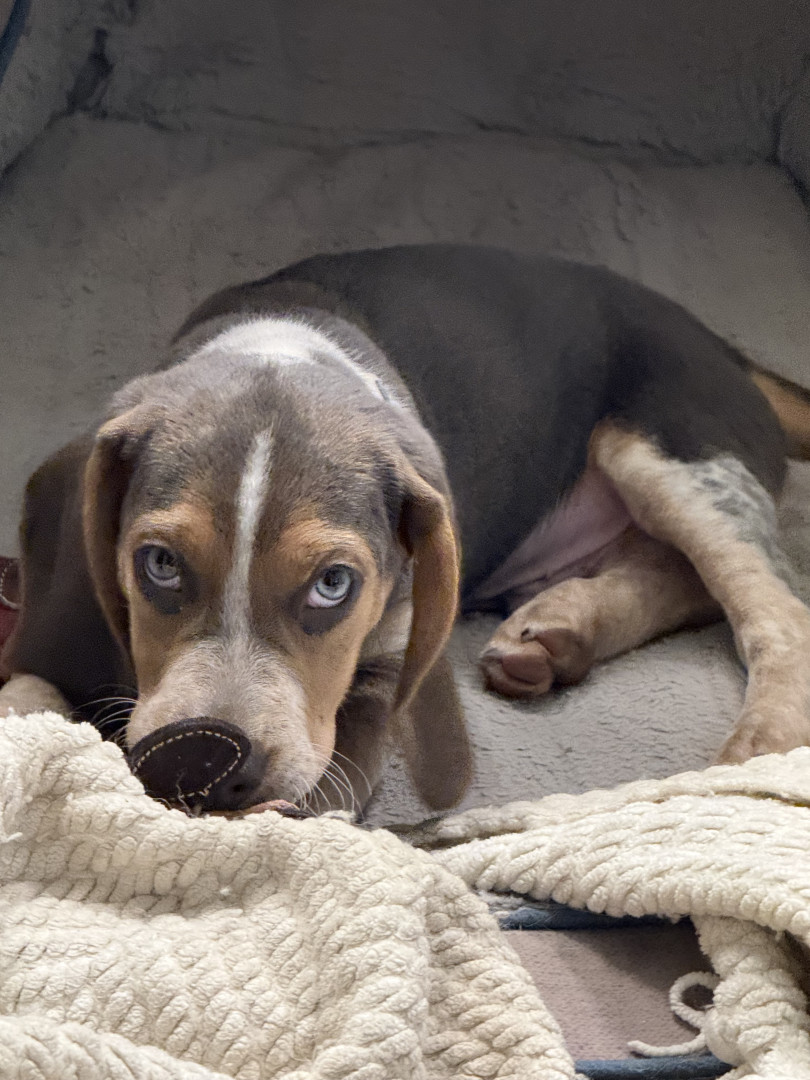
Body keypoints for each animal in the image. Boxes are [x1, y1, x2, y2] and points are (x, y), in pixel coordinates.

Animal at [2, 244, 810, 814]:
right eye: (159, 564)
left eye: (334, 584)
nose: (196, 762)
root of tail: (725, 349)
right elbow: (30, 688)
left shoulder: (385, 671)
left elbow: (327, 788)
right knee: (681, 576)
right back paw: (559, 632)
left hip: (676, 454)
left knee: (773, 608)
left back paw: (755, 755)